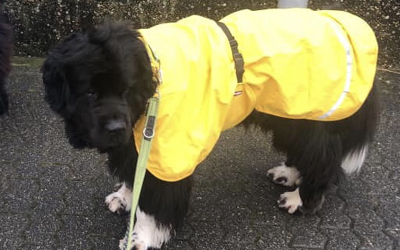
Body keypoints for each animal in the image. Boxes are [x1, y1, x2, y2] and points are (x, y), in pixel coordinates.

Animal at [42, 8, 380, 250]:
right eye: (89, 93)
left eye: (126, 90)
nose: (114, 126)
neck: (153, 77)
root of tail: (343, 23)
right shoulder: (134, 137)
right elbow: (131, 170)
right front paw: (125, 196)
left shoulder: (167, 151)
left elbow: (155, 199)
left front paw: (142, 237)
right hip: (288, 111)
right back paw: (290, 174)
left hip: (309, 114)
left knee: (323, 157)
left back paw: (301, 198)